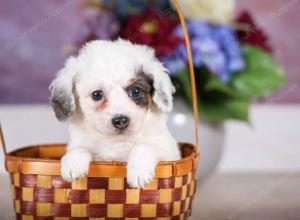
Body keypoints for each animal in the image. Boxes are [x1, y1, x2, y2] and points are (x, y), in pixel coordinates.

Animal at [49, 38, 180, 188]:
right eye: (97, 95)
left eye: (135, 91)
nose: (121, 121)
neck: (116, 141)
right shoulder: (80, 143)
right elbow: (79, 148)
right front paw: (73, 163)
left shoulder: (166, 151)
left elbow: (143, 147)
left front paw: (139, 171)